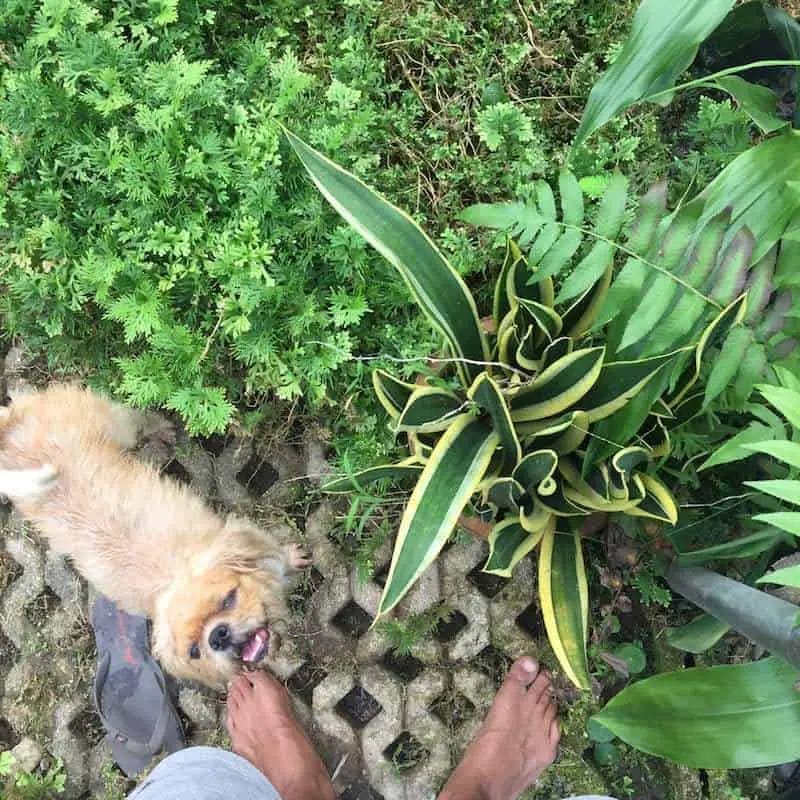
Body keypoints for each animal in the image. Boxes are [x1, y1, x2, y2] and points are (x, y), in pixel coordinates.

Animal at [0, 384, 310, 692]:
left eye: (229, 599)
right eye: (195, 651)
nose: (218, 635)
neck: (170, 574)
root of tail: (12, 425)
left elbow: (278, 556)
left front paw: (292, 558)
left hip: (116, 423)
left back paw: (159, 428)